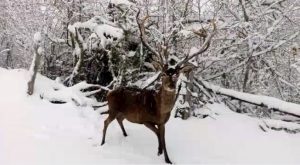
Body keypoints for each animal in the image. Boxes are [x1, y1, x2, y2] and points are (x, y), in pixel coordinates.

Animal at [101, 9, 216, 164]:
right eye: (163, 74)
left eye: (177, 74)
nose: (171, 85)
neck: (159, 111)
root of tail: (109, 93)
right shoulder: (145, 119)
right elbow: (159, 135)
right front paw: (161, 153)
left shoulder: (164, 123)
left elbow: (162, 137)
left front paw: (164, 156)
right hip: (113, 108)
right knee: (105, 122)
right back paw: (102, 142)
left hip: (121, 112)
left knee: (119, 120)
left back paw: (125, 134)